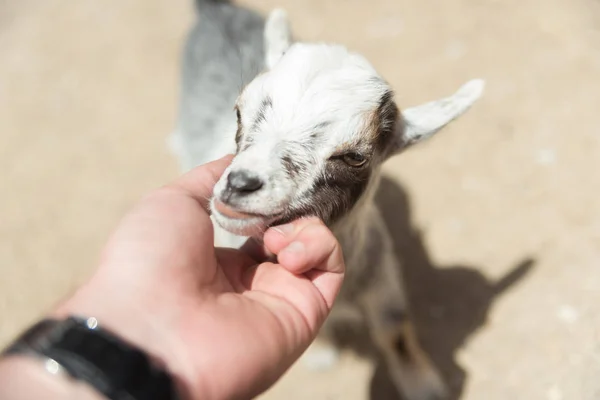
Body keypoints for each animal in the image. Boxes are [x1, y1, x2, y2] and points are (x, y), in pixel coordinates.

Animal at [169, 3, 482, 400]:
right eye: (239, 111)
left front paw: (425, 387)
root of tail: (215, 10)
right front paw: (322, 354)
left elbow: (393, 330)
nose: (240, 184)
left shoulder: (381, 275)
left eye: (355, 157)